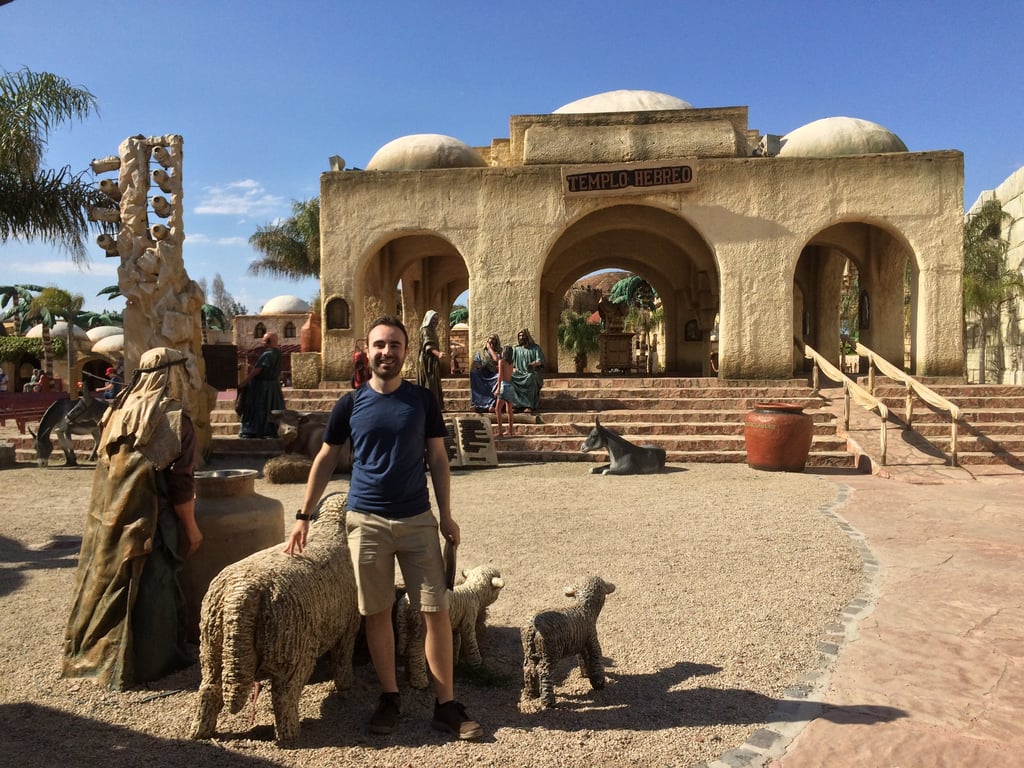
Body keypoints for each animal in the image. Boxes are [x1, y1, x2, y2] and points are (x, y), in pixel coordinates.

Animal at [188, 492, 359, 743]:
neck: (331, 529)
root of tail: (243, 593)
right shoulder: (349, 626)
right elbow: (343, 659)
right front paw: (346, 687)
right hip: (292, 652)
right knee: (284, 696)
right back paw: (290, 734)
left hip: (211, 648)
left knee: (209, 690)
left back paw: (200, 731)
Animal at [521, 576, 616, 708]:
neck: (584, 608)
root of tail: (532, 627)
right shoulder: (592, 639)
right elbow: (596, 658)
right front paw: (599, 683)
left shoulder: (580, 643)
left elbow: (583, 659)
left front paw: (585, 674)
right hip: (550, 652)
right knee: (544, 672)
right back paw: (548, 701)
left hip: (529, 652)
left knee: (529, 669)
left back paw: (530, 695)